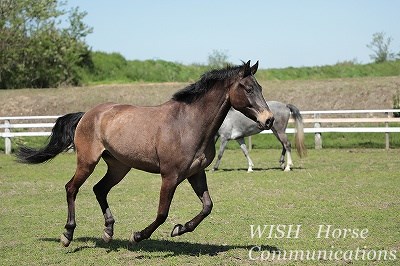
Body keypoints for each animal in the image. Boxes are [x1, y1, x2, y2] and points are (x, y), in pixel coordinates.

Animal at [16, 60, 272, 247]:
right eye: (249, 88)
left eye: (260, 88)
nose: (268, 119)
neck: (188, 124)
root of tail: (88, 114)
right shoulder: (170, 176)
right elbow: (162, 213)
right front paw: (139, 235)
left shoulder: (196, 173)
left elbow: (207, 206)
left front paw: (180, 229)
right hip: (87, 161)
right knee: (72, 188)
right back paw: (67, 235)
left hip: (119, 166)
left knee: (99, 189)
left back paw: (108, 231)